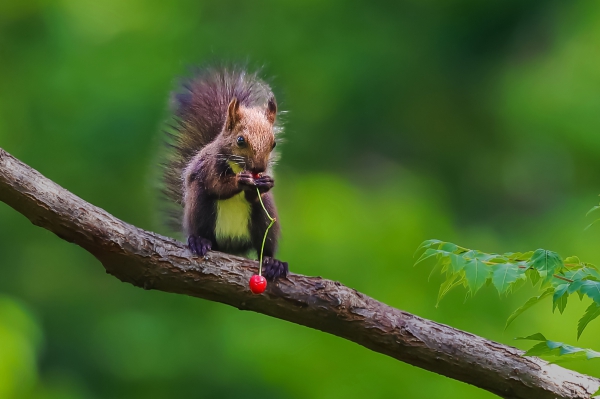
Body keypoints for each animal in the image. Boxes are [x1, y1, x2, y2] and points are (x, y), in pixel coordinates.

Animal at [162, 66, 288, 282]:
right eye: (240, 140)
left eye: (273, 144)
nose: (258, 169)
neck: (238, 166)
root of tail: (230, 244)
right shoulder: (210, 166)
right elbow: (216, 185)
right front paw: (239, 181)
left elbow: (254, 195)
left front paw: (266, 183)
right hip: (199, 205)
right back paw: (199, 241)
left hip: (266, 218)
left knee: (266, 247)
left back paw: (274, 263)